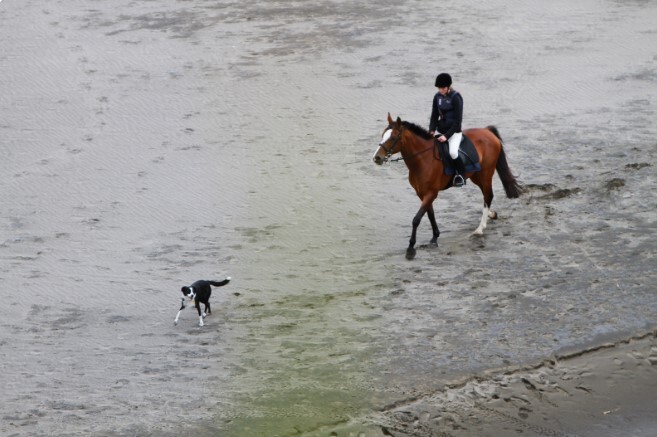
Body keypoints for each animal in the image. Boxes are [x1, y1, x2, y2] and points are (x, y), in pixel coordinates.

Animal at [372, 113, 523, 260]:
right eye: (383, 135)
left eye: (393, 137)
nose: (377, 158)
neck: (423, 159)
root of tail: (487, 131)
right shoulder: (422, 193)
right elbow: (430, 214)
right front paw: (434, 237)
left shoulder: (431, 193)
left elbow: (416, 219)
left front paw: (410, 249)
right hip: (476, 175)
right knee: (486, 196)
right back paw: (492, 214)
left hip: (486, 173)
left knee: (488, 195)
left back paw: (479, 229)